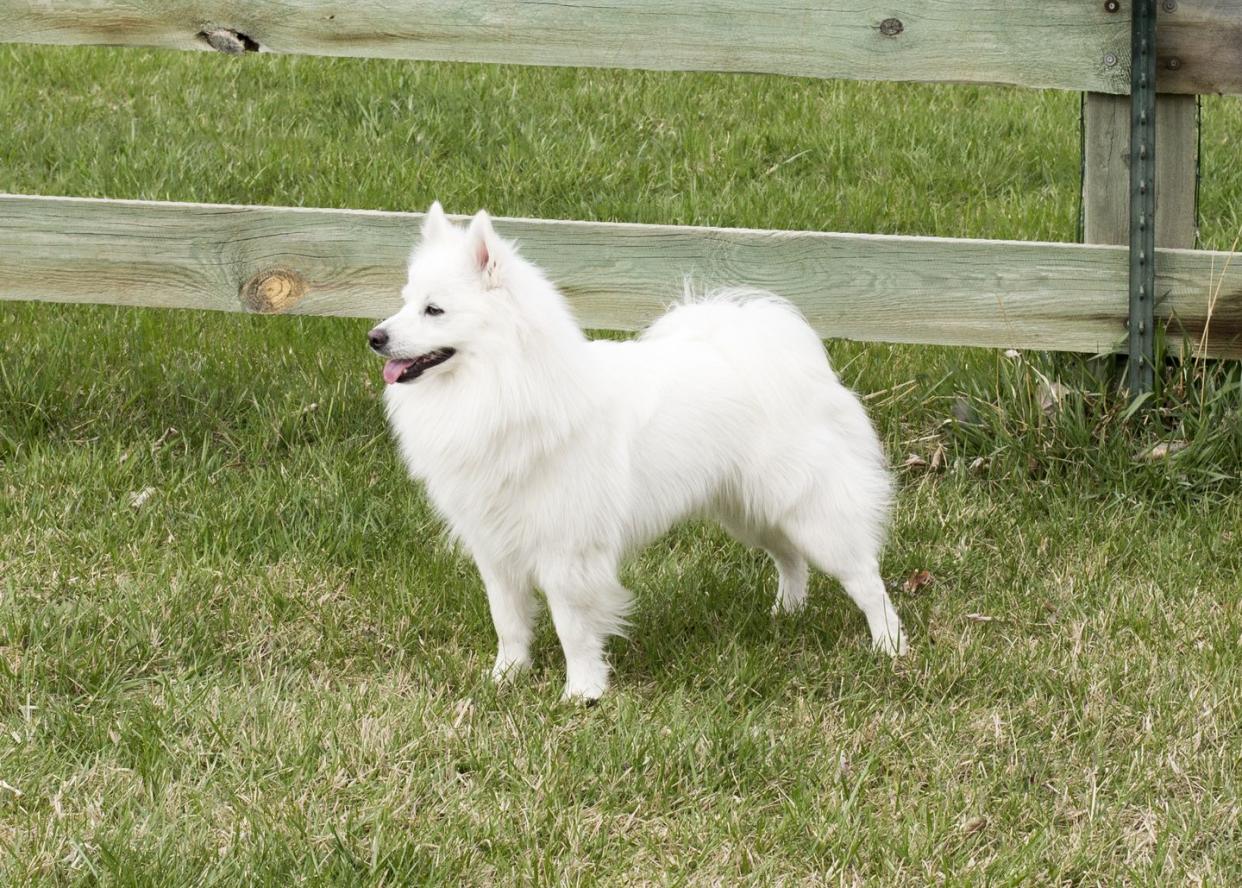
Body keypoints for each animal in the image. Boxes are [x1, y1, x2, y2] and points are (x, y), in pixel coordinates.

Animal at [365, 203, 904, 700]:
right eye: (404, 302)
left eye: (434, 310)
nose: (375, 336)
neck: (506, 387)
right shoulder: (496, 549)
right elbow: (509, 622)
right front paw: (505, 678)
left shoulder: (567, 552)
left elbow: (572, 629)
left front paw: (581, 692)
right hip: (749, 508)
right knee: (790, 559)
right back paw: (785, 613)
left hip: (810, 511)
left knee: (865, 578)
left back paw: (890, 647)